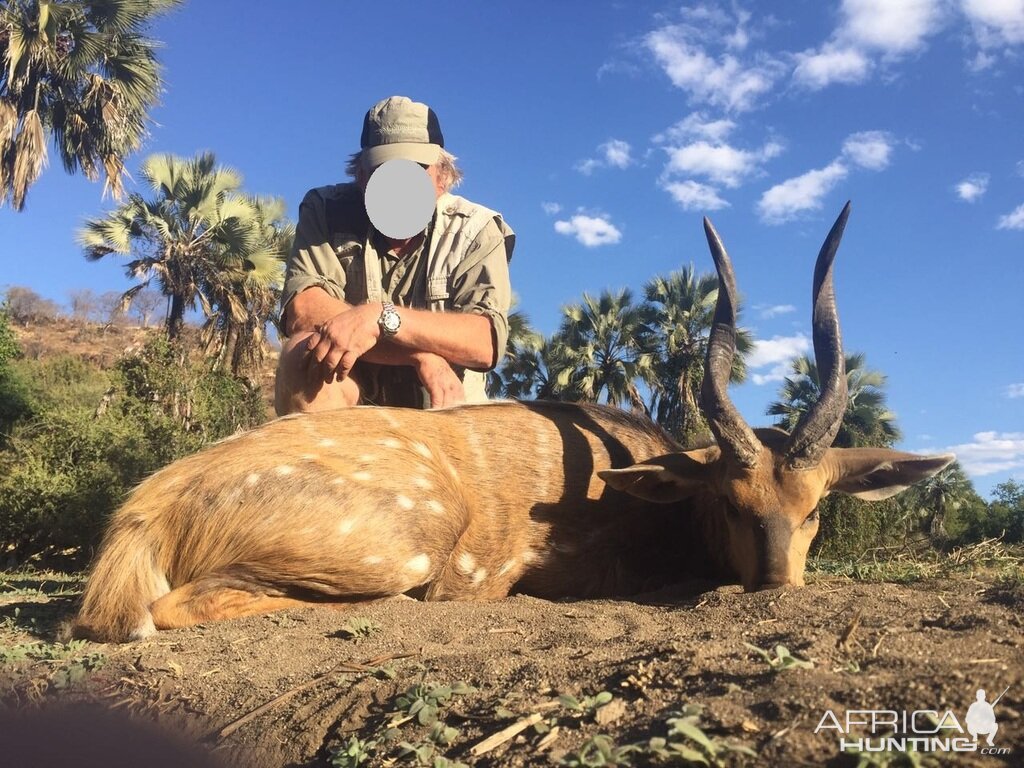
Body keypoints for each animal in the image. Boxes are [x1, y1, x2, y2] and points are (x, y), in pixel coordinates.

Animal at [72, 204, 950, 643]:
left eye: (815, 512)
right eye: (732, 505)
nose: (773, 589)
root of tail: (144, 513)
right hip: (405, 547)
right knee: (166, 612)